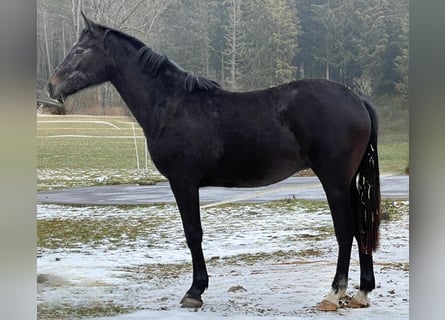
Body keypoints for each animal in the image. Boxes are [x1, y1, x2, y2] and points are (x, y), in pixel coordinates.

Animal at [47, 11, 382, 310]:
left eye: (80, 50)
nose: (52, 85)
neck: (171, 105)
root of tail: (357, 100)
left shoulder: (183, 182)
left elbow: (193, 233)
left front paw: (195, 291)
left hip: (334, 181)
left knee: (345, 230)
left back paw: (334, 294)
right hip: (348, 182)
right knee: (360, 227)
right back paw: (362, 292)